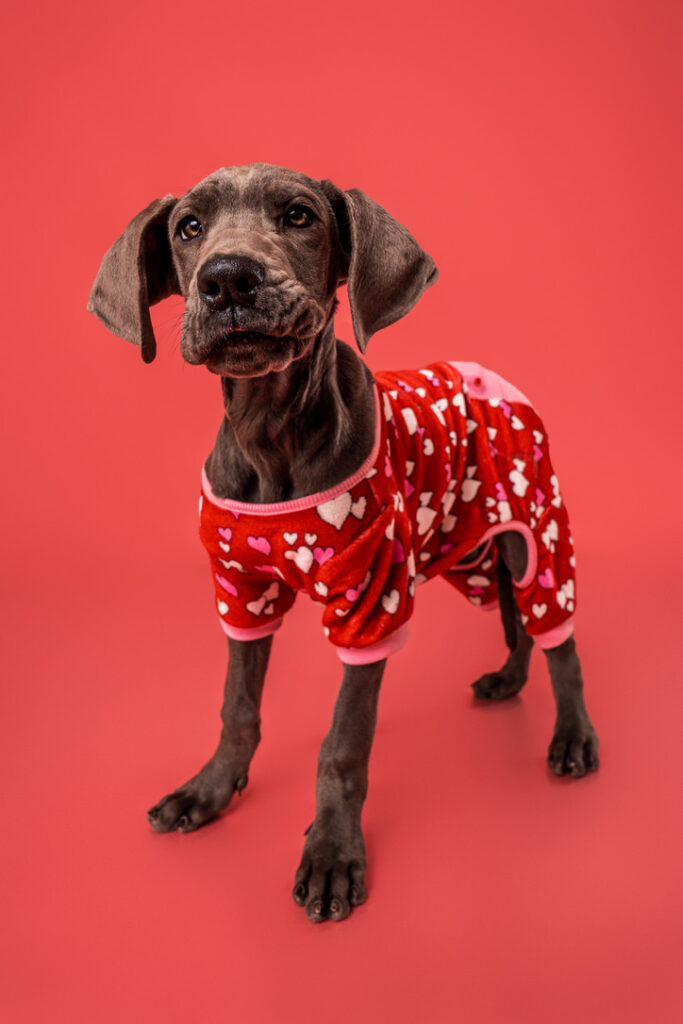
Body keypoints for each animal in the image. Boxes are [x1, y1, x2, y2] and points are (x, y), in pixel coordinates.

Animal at [88, 159, 602, 921]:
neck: (271, 436)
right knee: (510, 620)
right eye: (188, 227)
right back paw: (507, 680)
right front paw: (208, 792)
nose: (228, 279)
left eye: (298, 215)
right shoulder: (240, 592)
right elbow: (237, 708)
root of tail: (495, 377)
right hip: (469, 550)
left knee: (557, 638)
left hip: (534, 529)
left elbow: (342, 745)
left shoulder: (370, 603)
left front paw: (332, 854)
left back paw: (572, 736)